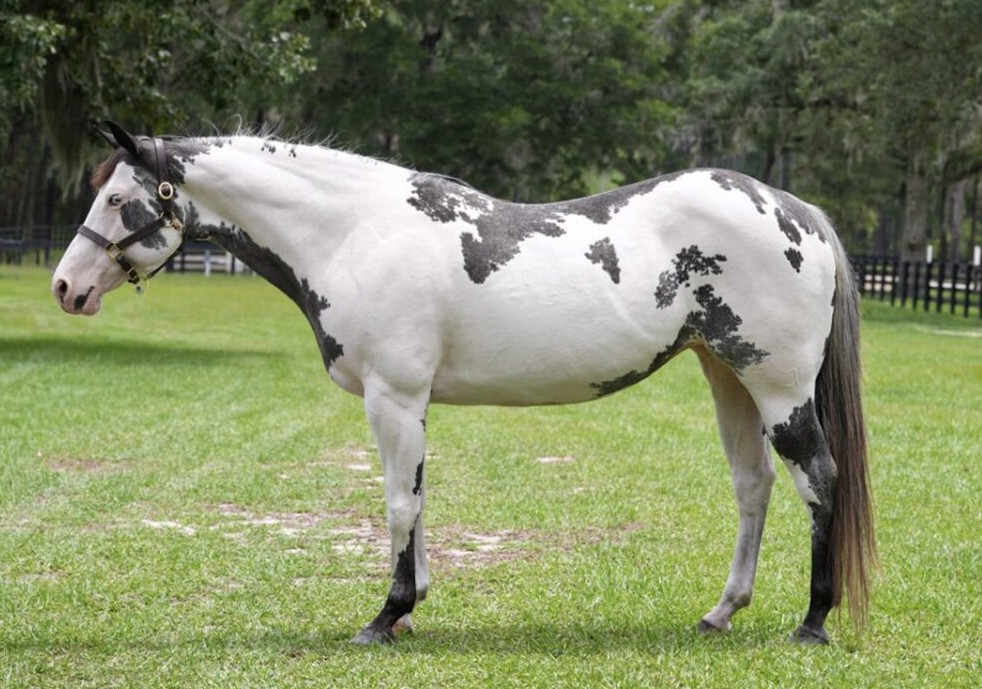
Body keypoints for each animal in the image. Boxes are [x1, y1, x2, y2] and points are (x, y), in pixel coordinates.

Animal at [52, 121, 875, 645]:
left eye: (118, 199)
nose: (66, 287)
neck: (353, 231)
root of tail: (798, 211)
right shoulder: (410, 403)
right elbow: (417, 502)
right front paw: (410, 609)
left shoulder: (392, 397)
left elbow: (395, 504)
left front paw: (382, 618)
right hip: (727, 376)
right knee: (753, 486)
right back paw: (721, 612)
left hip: (779, 388)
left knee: (819, 479)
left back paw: (812, 622)